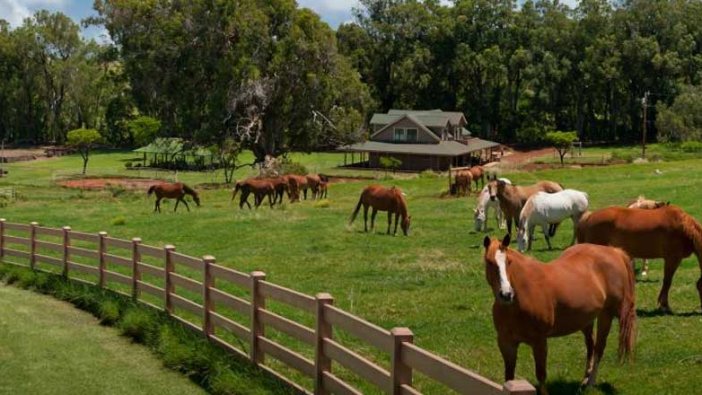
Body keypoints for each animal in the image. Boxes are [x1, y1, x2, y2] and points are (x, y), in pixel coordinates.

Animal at [484, 234, 640, 394]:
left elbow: (541, 374)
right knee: (591, 346)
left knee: (599, 348)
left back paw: (590, 384)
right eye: (489, 262)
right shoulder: (506, 343)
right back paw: (584, 380)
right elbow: (509, 376)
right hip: (586, 319)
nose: (506, 294)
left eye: (509, 262)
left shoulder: (539, 341)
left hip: (607, 315)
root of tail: (614, 251)